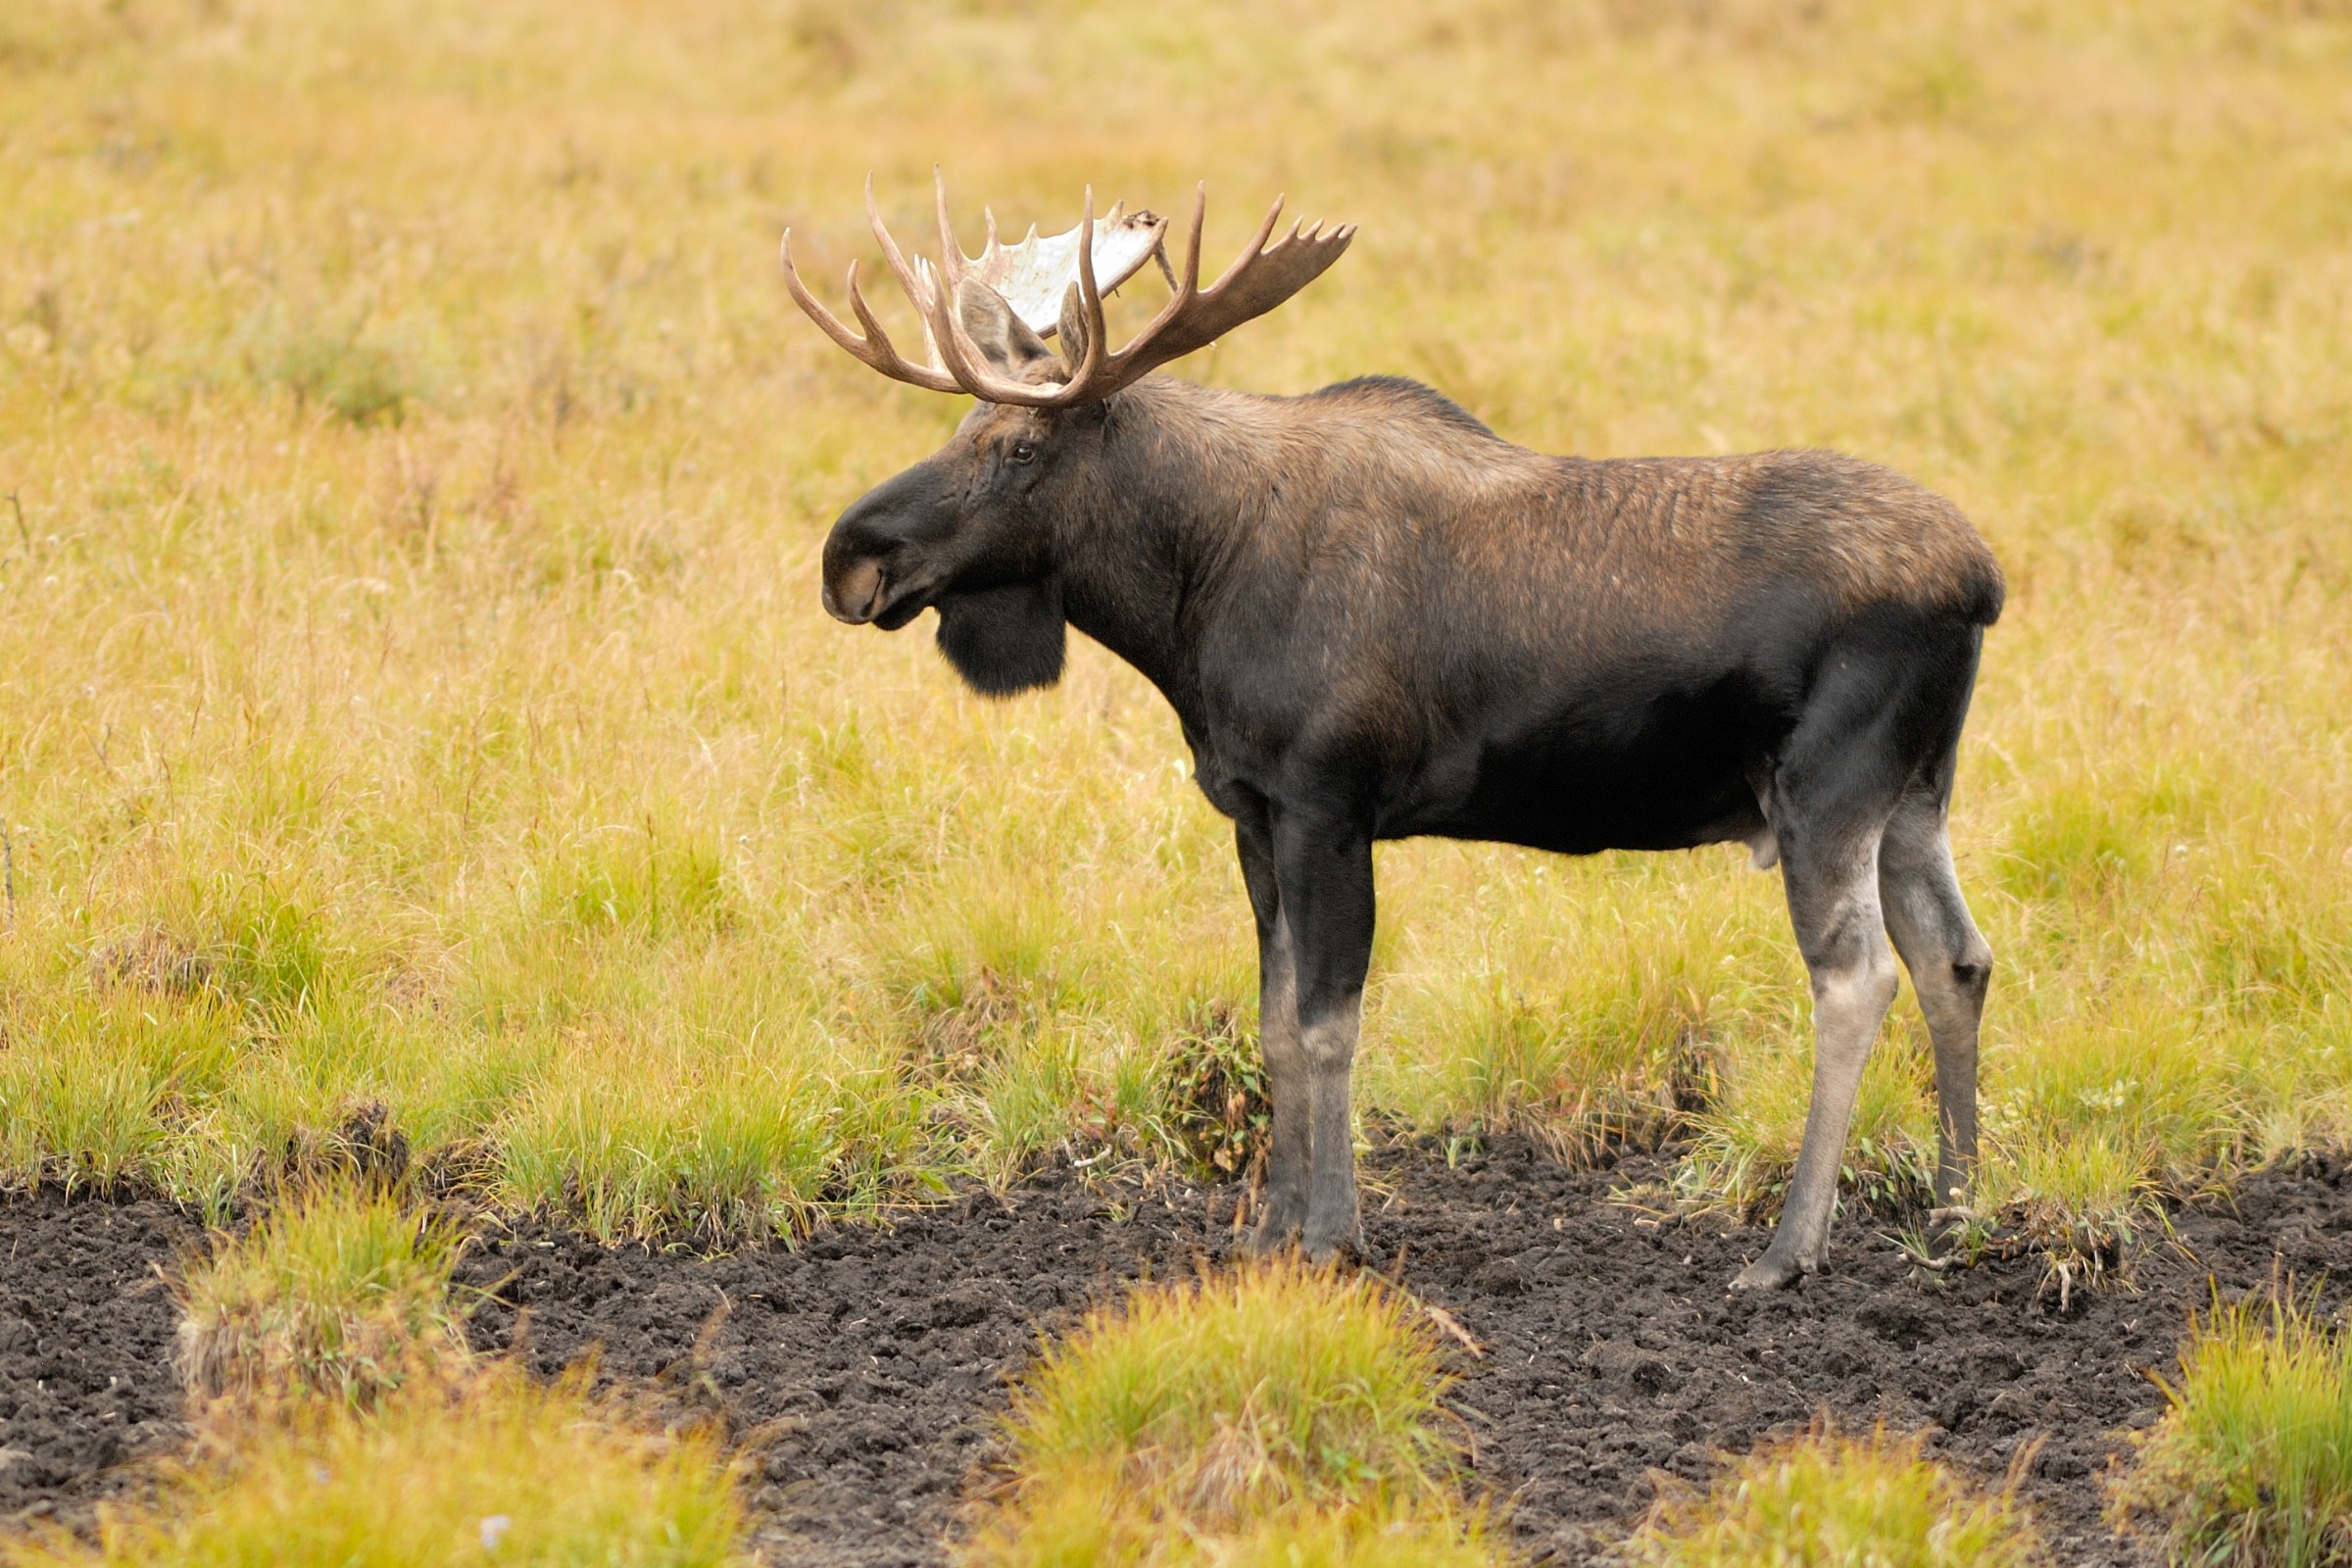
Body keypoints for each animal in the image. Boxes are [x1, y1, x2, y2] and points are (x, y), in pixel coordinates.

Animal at [780, 180, 1994, 1288]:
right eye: (962, 425)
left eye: (1023, 447)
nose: (852, 557)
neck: (1187, 600)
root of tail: (1983, 579)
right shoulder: (1251, 811)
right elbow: (1272, 1020)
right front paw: (1266, 1231)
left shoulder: (1327, 800)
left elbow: (1328, 1022)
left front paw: (1329, 1232)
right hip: (1916, 792)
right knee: (1958, 958)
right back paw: (1953, 1212)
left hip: (1826, 788)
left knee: (1858, 979)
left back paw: (1791, 1248)